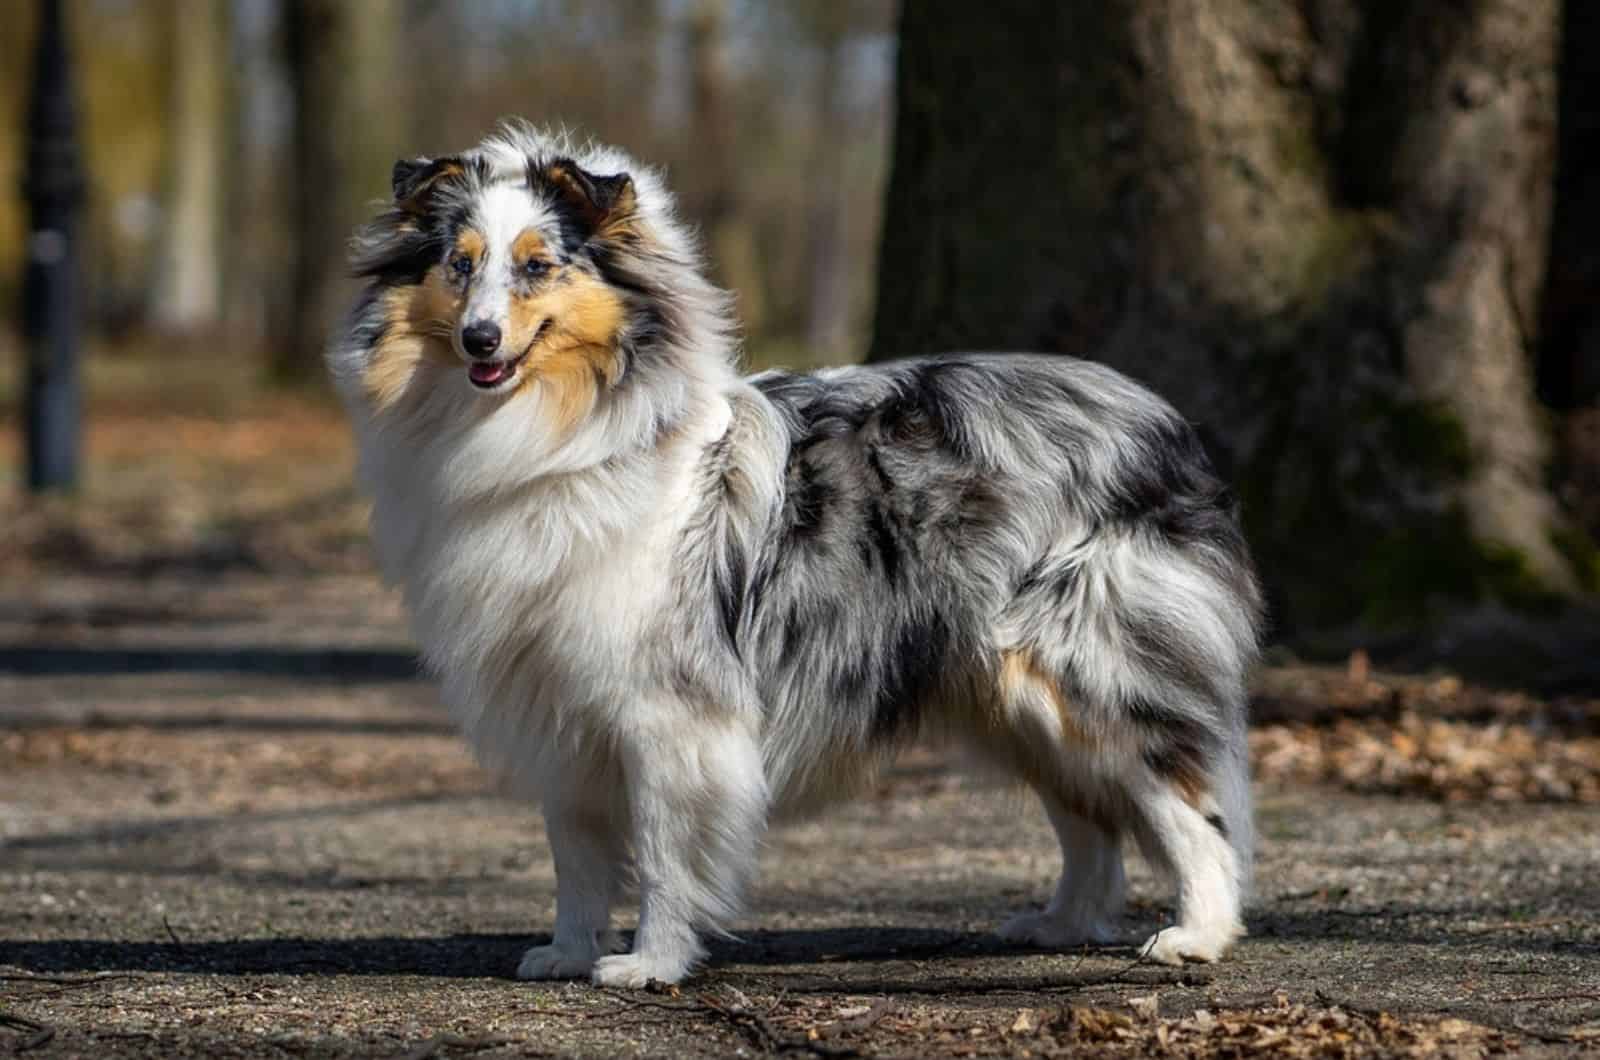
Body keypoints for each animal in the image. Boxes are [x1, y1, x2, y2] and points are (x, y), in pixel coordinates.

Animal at [328, 126, 1260, 999]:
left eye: (538, 266)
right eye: (460, 264)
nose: (480, 339)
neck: (558, 436)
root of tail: (1161, 423)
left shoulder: (668, 709)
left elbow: (663, 851)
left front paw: (650, 963)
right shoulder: (557, 703)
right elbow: (577, 856)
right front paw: (567, 953)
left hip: (1080, 670)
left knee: (1187, 804)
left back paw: (1197, 935)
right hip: (1003, 694)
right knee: (1089, 815)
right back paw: (1062, 922)